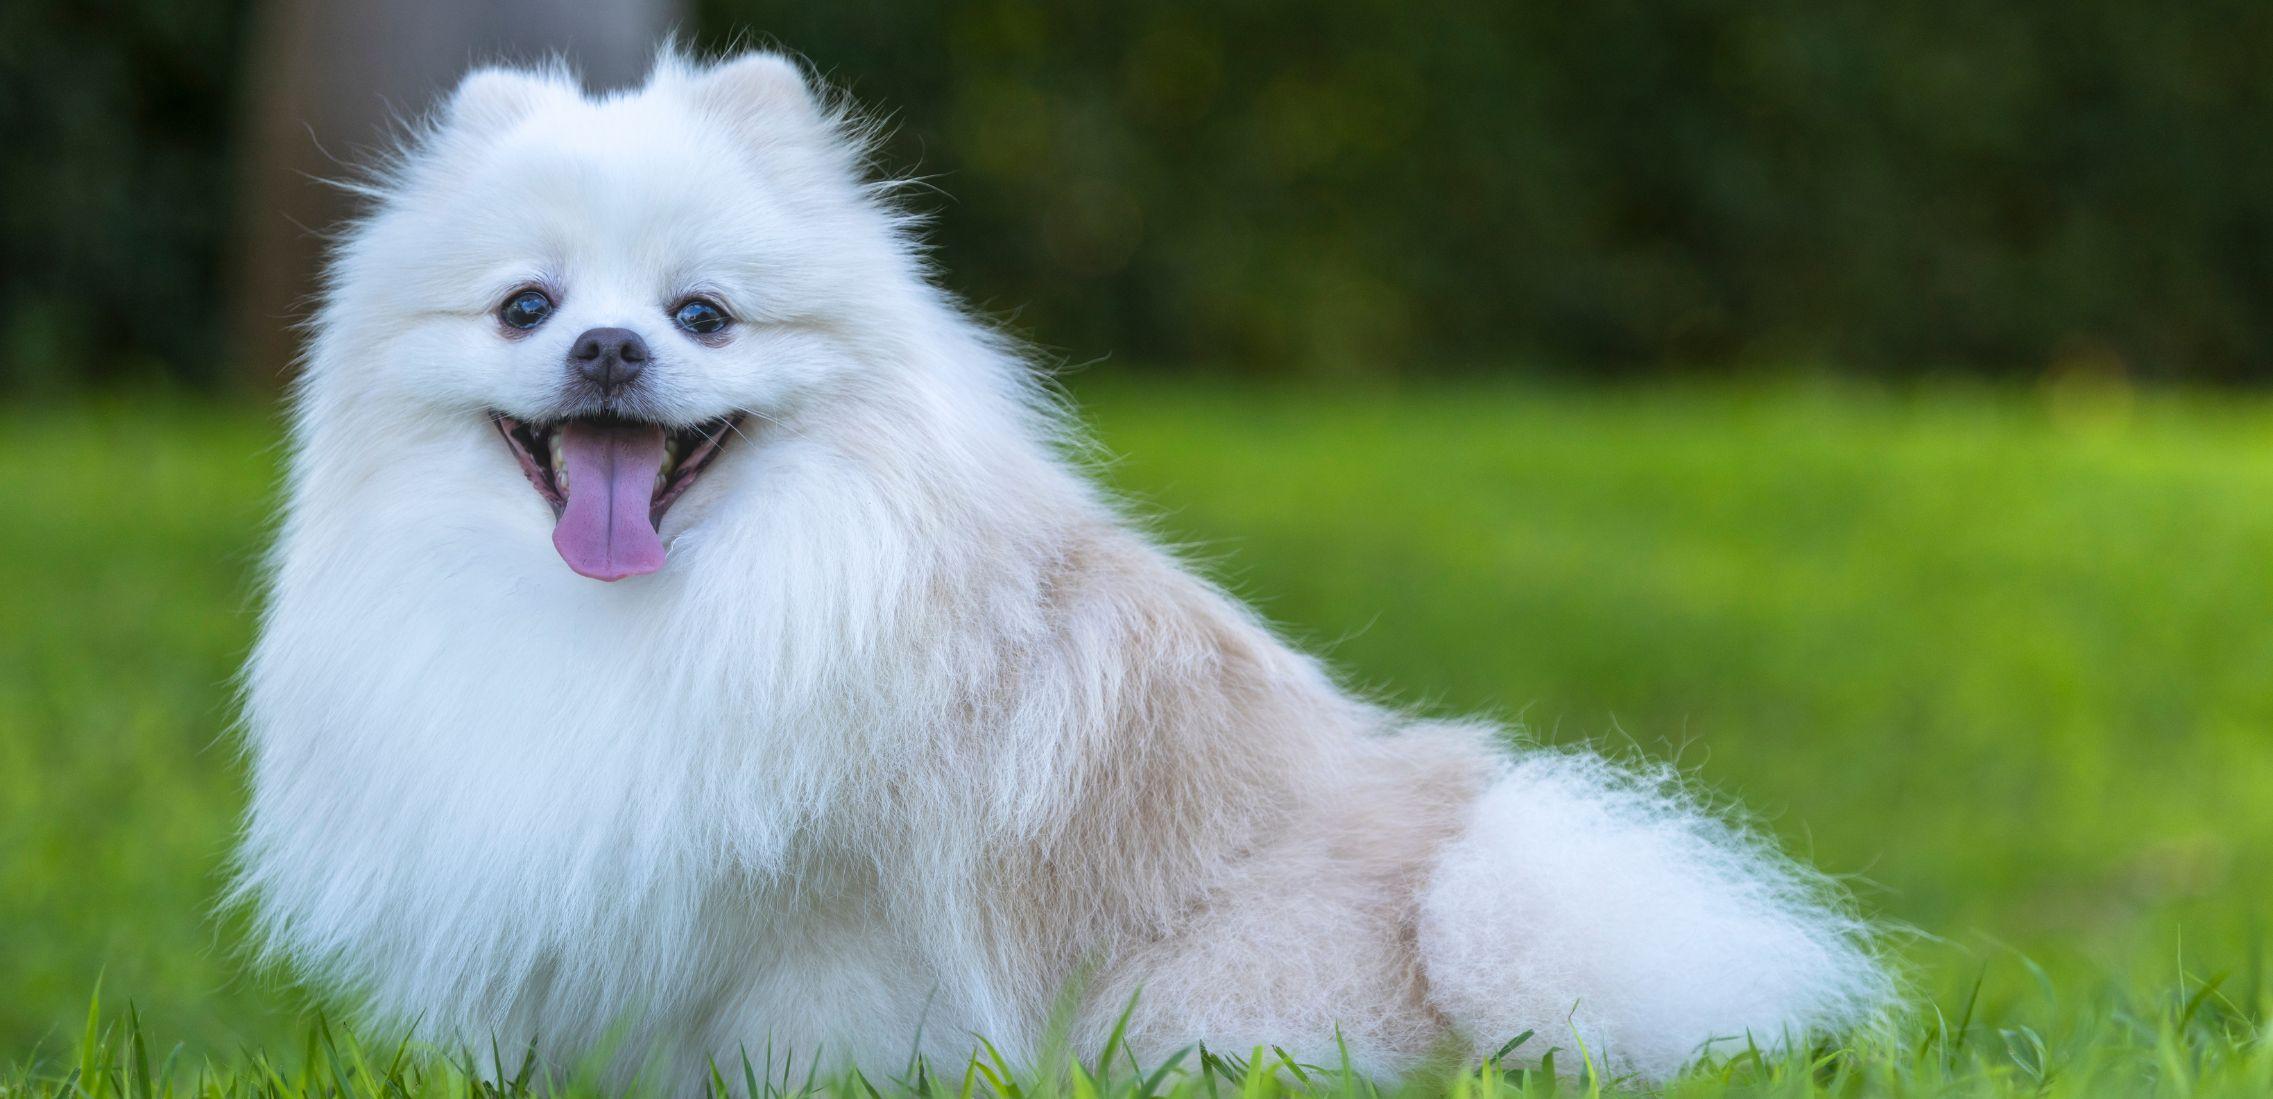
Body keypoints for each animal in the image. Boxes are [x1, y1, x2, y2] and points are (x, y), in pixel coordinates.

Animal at [235, 49, 1900, 1080]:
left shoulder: (833, 924)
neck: (670, 601)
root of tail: (1449, 921)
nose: (607, 345)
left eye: (701, 313)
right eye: (525, 305)